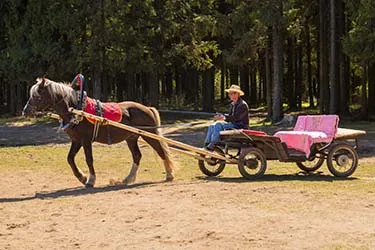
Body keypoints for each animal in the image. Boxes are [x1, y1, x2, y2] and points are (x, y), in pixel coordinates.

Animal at [22, 78, 176, 188]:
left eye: (37, 96)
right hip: (131, 138)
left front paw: (91, 180)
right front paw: (82, 177)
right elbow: (70, 158)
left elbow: (89, 159)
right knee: (137, 156)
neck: (76, 110)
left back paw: (169, 175)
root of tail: (147, 108)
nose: (25, 111)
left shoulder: (86, 140)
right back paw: (128, 178)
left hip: (149, 135)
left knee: (161, 151)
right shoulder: (76, 140)